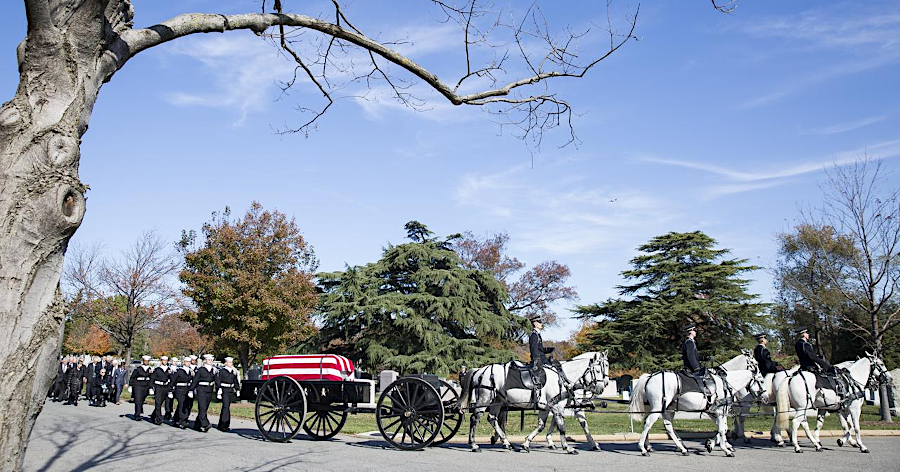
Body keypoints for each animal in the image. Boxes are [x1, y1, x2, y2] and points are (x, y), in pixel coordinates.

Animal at [458, 354, 612, 454]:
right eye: (599, 369)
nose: (603, 386)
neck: (561, 377)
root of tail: (480, 370)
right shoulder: (557, 408)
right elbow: (562, 427)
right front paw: (568, 447)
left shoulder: (548, 407)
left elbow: (542, 425)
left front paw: (527, 443)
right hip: (484, 400)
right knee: (475, 419)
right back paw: (474, 445)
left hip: (496, 402)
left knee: (492, 419)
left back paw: (506, 443)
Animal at [628, 364, 764, 456]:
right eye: (762, 380)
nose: (765, 397)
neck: (725, 384)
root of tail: (650, 377)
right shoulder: (720, 411)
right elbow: (722, 429)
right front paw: (725, 449)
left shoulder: (715, 412)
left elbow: (723, 428)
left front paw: (713, 444)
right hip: (658, 408)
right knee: (648, 424)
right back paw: (643, 449)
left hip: (667, 409)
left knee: (668, 427)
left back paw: (681, 448)